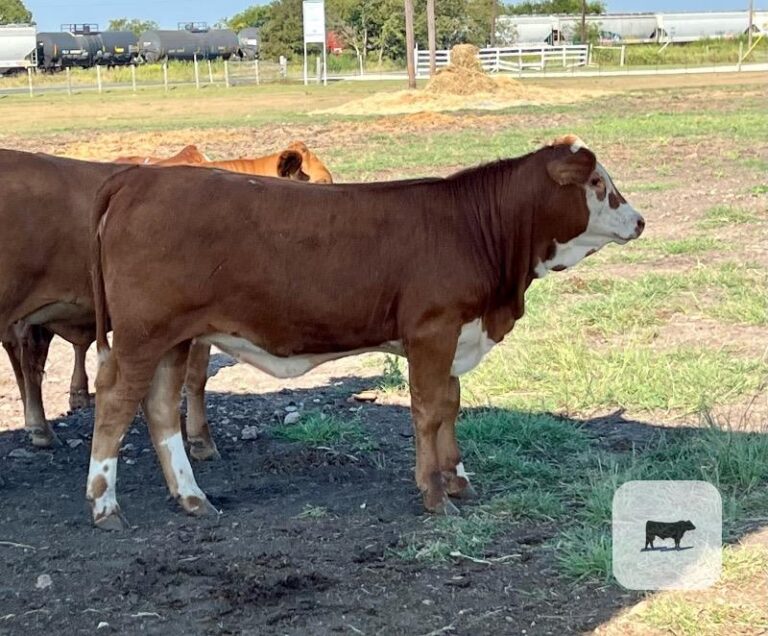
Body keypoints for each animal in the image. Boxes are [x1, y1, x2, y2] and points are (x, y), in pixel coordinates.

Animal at [86, 135, 645, 529]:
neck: (470, 228)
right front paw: (434, 494)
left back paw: (191, 496)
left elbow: (450, 405)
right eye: (598, 184)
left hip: (174, 340)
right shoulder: (432, 332)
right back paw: (105, 503)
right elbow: (428, 413)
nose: (639, 220)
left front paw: (458, 480)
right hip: (142, 336)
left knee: (161, 408)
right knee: (115, 402)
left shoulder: (455, 336)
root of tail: (137, 180)